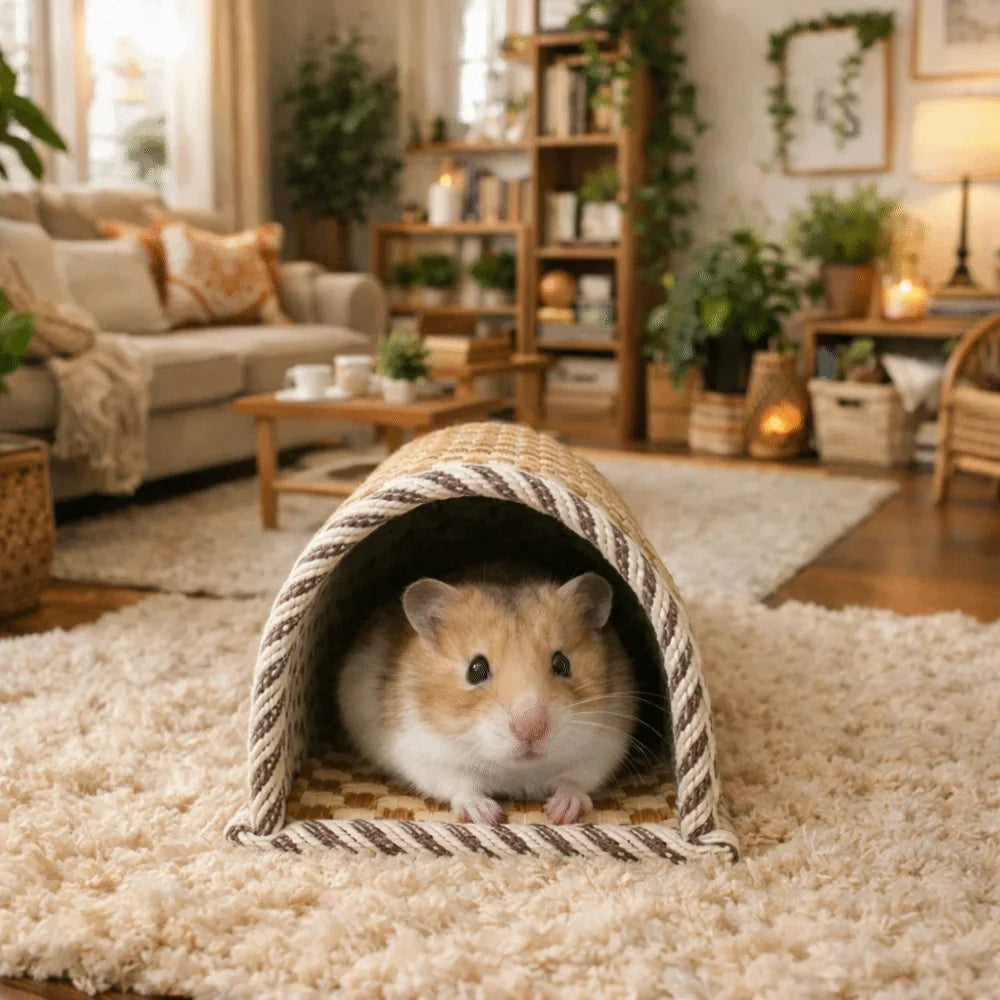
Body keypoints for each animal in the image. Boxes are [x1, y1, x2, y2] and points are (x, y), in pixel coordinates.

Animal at [336, 567, 638, 825]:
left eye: (562, 664)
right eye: (475, 669)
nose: (531, 729)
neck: (518, 769)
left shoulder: (605, 744)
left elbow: (574, 780)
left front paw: (560, 813)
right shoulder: (422, 752)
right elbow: (461, 785)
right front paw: (487, 815)